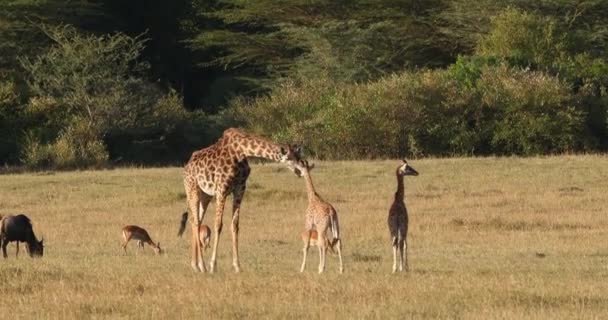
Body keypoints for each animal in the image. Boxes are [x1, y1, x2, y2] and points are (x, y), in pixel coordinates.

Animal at [182, 127, 302, 272]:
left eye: (300, 157)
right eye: (289, 158)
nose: (300, 171)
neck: (241, 151)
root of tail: (187, 165)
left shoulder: (240, 189)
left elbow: (235, 225)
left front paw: (237, 266)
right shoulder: (221, 189)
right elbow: (218, 225)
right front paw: (213, 265)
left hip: (205, 195)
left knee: (197, 220)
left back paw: (196, 265)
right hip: (192, 189)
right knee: (195, 222)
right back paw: (202, 266)